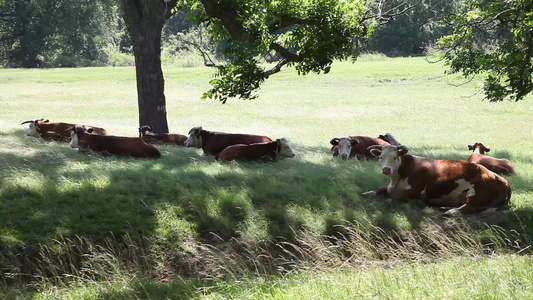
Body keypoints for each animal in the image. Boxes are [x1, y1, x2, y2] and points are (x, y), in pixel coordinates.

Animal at [362, 144, 512, 214]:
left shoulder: (416, 190)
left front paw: (419, 202)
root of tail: (504, 181)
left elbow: (398, 196)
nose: (386, 169)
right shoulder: (390, 187)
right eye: (381, 157)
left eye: (395, 157)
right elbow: (380, 189)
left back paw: (451, 211)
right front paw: (368, 192)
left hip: (476, 193)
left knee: (469, 208)